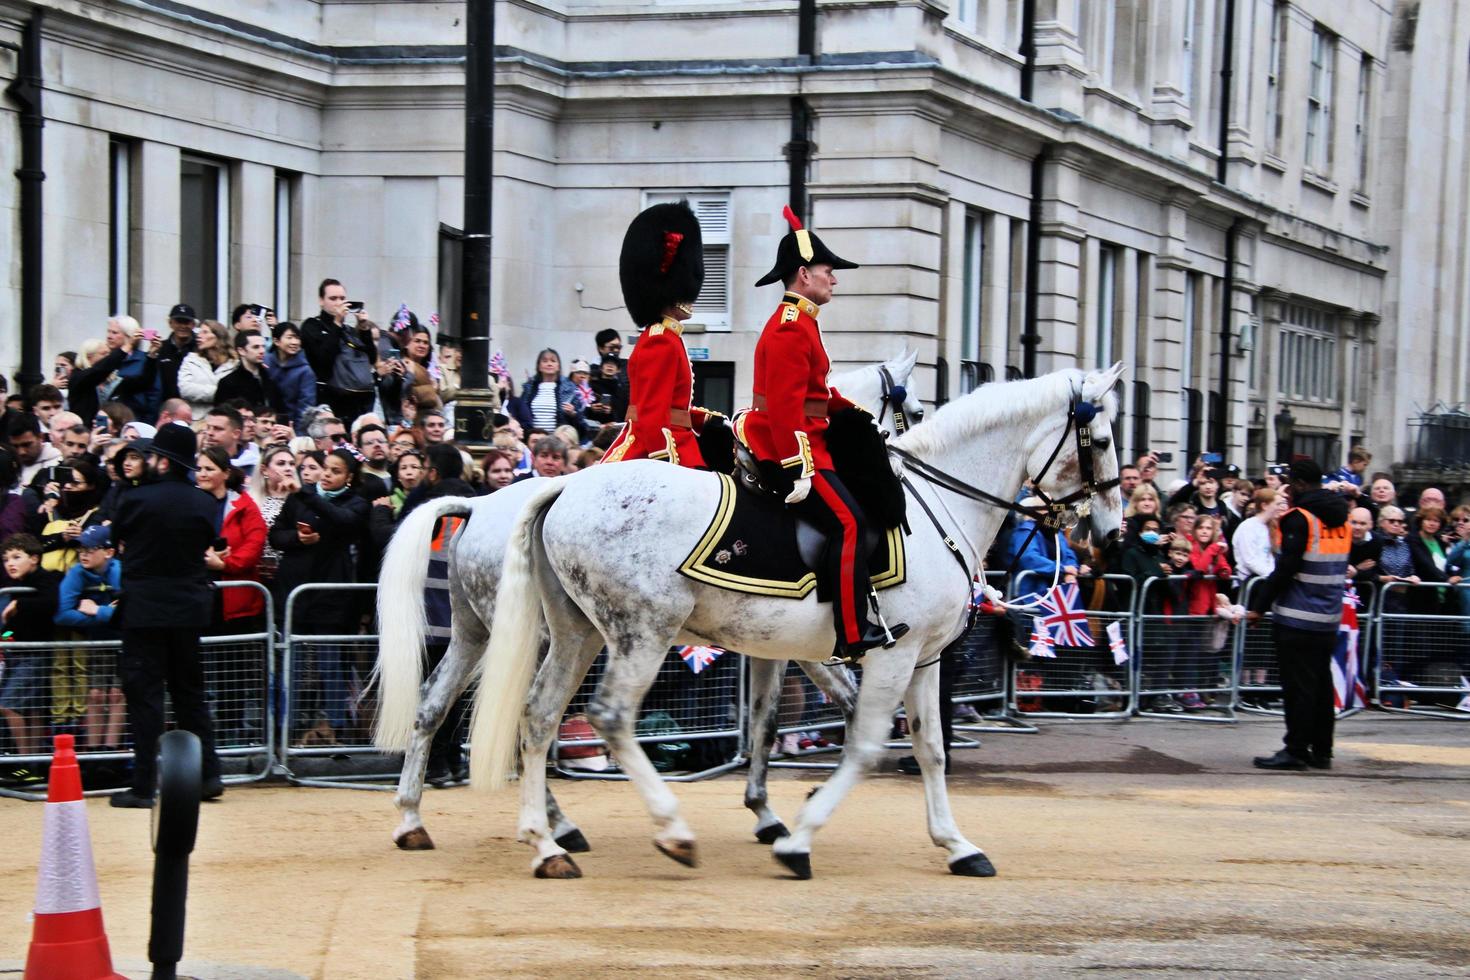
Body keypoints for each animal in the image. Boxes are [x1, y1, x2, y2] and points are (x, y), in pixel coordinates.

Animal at [373, 351, 917, 852]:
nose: (896, 469)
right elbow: (838, 702)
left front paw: (771, 810)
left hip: (481, 634)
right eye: (909, 407)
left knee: (441, 706)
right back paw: (558, 827)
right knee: (528, 718)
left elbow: (773, 721)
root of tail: (477, 504)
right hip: (557, 637)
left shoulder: (779, 641)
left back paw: (418, 820)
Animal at [470, 362, 1123, 881]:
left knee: (538, 714)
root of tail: (562, 490)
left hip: (577, 634)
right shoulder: (890, 655)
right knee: (607, 716)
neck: (938, 510)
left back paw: (547, 843)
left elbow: (928, 748)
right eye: (1103, 438)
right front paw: (799, 838)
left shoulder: (919, 659)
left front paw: (956, 844)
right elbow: (863, 743)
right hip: (642, 633)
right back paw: (669, 830)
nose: (1110, 530)